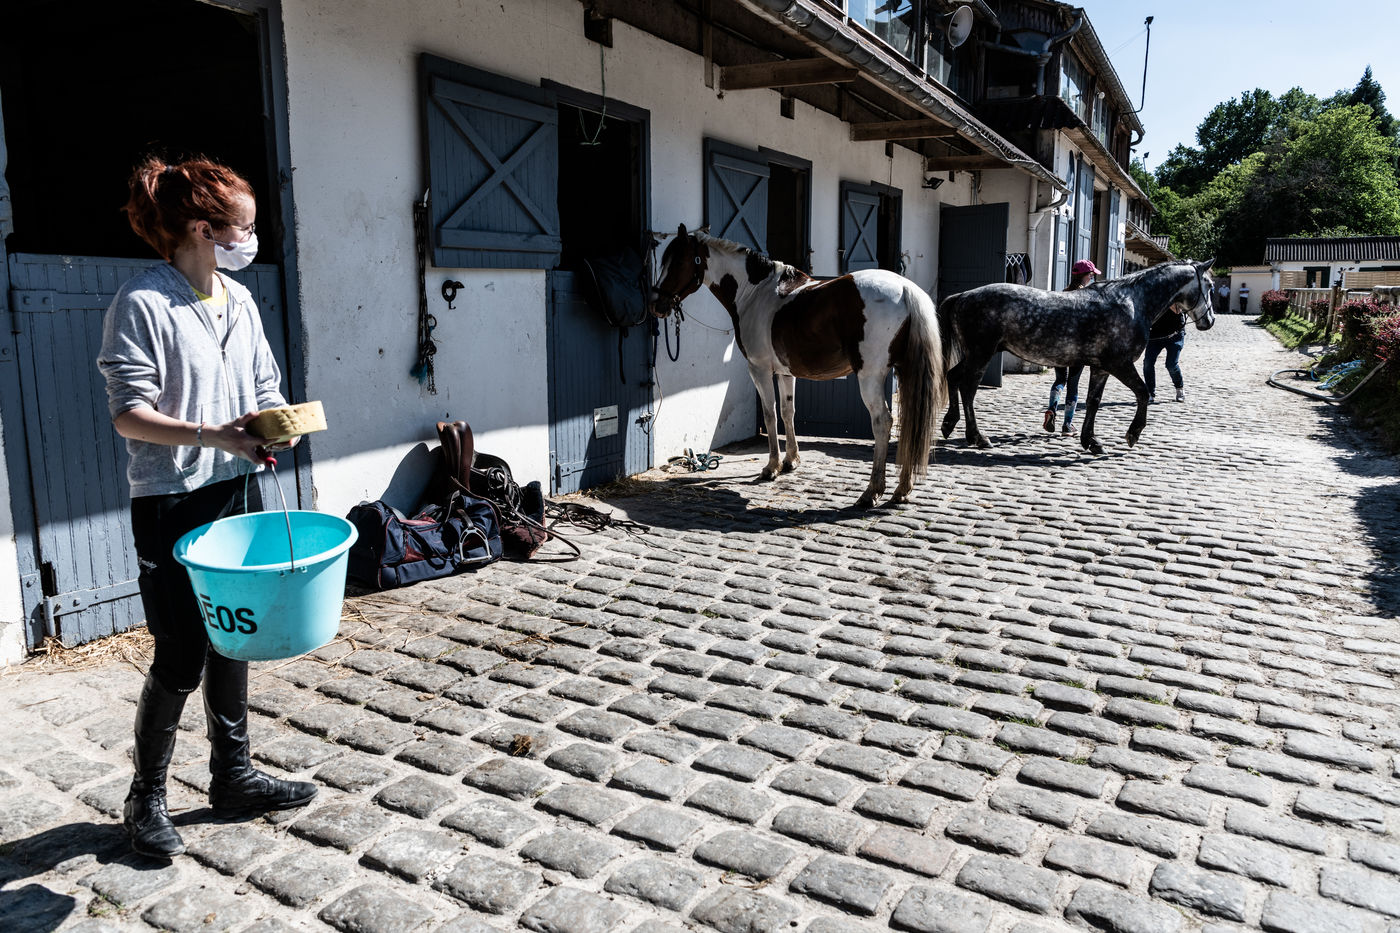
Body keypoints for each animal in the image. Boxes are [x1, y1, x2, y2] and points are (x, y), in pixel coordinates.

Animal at [650, 224, 948, 508]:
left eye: (678, 263)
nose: (657, 305)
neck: (754, 293)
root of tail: (906, 289)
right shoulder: (785, 373)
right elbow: (787, 411)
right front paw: (791, 461)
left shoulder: (759, 370)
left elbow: (770, 414)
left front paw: (771, 467)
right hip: (905, 371)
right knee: (909, 422)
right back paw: (902, 490)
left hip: (870, 377)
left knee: (883, 422)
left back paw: (871, 492)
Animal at [939, 259, 1216, 455]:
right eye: (1210, 286)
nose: (1210, 321)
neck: (1132, 303)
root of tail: (963, 296)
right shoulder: (1120, 364)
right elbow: (1143, 392)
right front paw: (1133, 434)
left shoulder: (1101, 368)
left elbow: (1093, 401)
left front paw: (1091, 441)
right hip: (981, 354)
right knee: (968, 389)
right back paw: (977, 437)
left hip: (976, 354)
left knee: (953, 377)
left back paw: (949, 424)